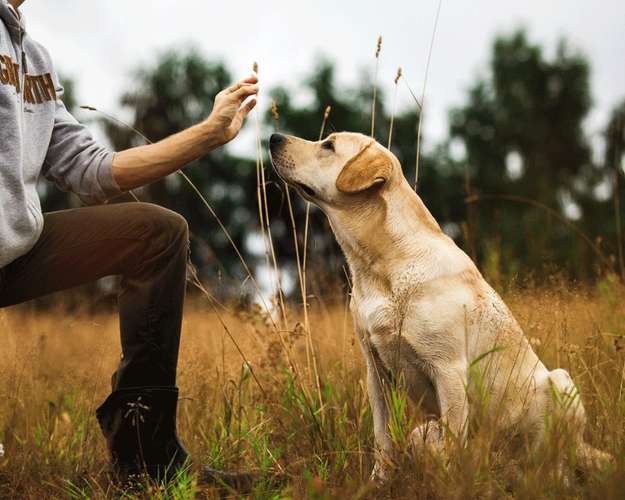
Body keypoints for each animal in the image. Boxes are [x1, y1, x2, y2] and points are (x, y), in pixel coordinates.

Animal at [266, 131, 604, 478]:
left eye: (329, 146)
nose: (274, 137)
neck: (382, 265)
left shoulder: (449, 370)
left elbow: (454, 445)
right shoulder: (376, 372)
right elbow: (382, 438)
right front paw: (378, 481)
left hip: (561, 383)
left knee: (556, 462)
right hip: (425, 431)